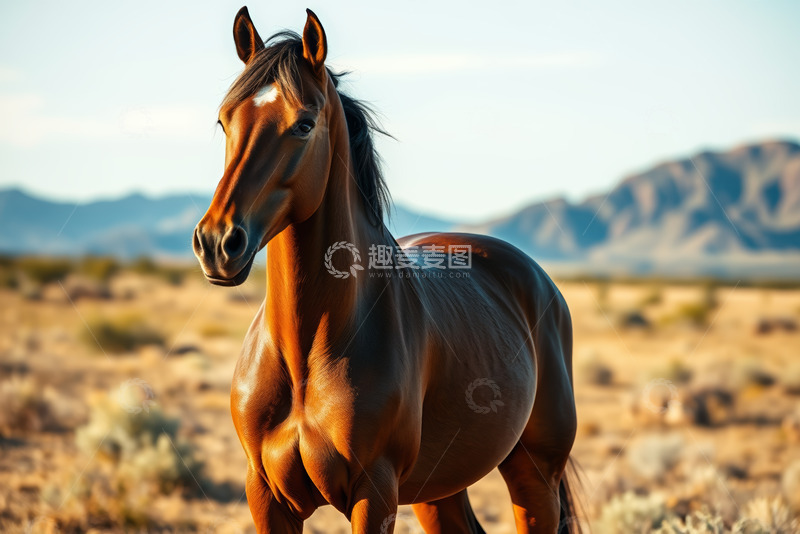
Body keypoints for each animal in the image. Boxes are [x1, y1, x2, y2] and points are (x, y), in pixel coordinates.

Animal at [192, 7, 580, 533]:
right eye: (224, 119)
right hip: (439, 491)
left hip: (534, 474)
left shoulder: (373, 494)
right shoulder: (265, 495)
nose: (217, 243)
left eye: (304, 125)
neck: (306, 353)